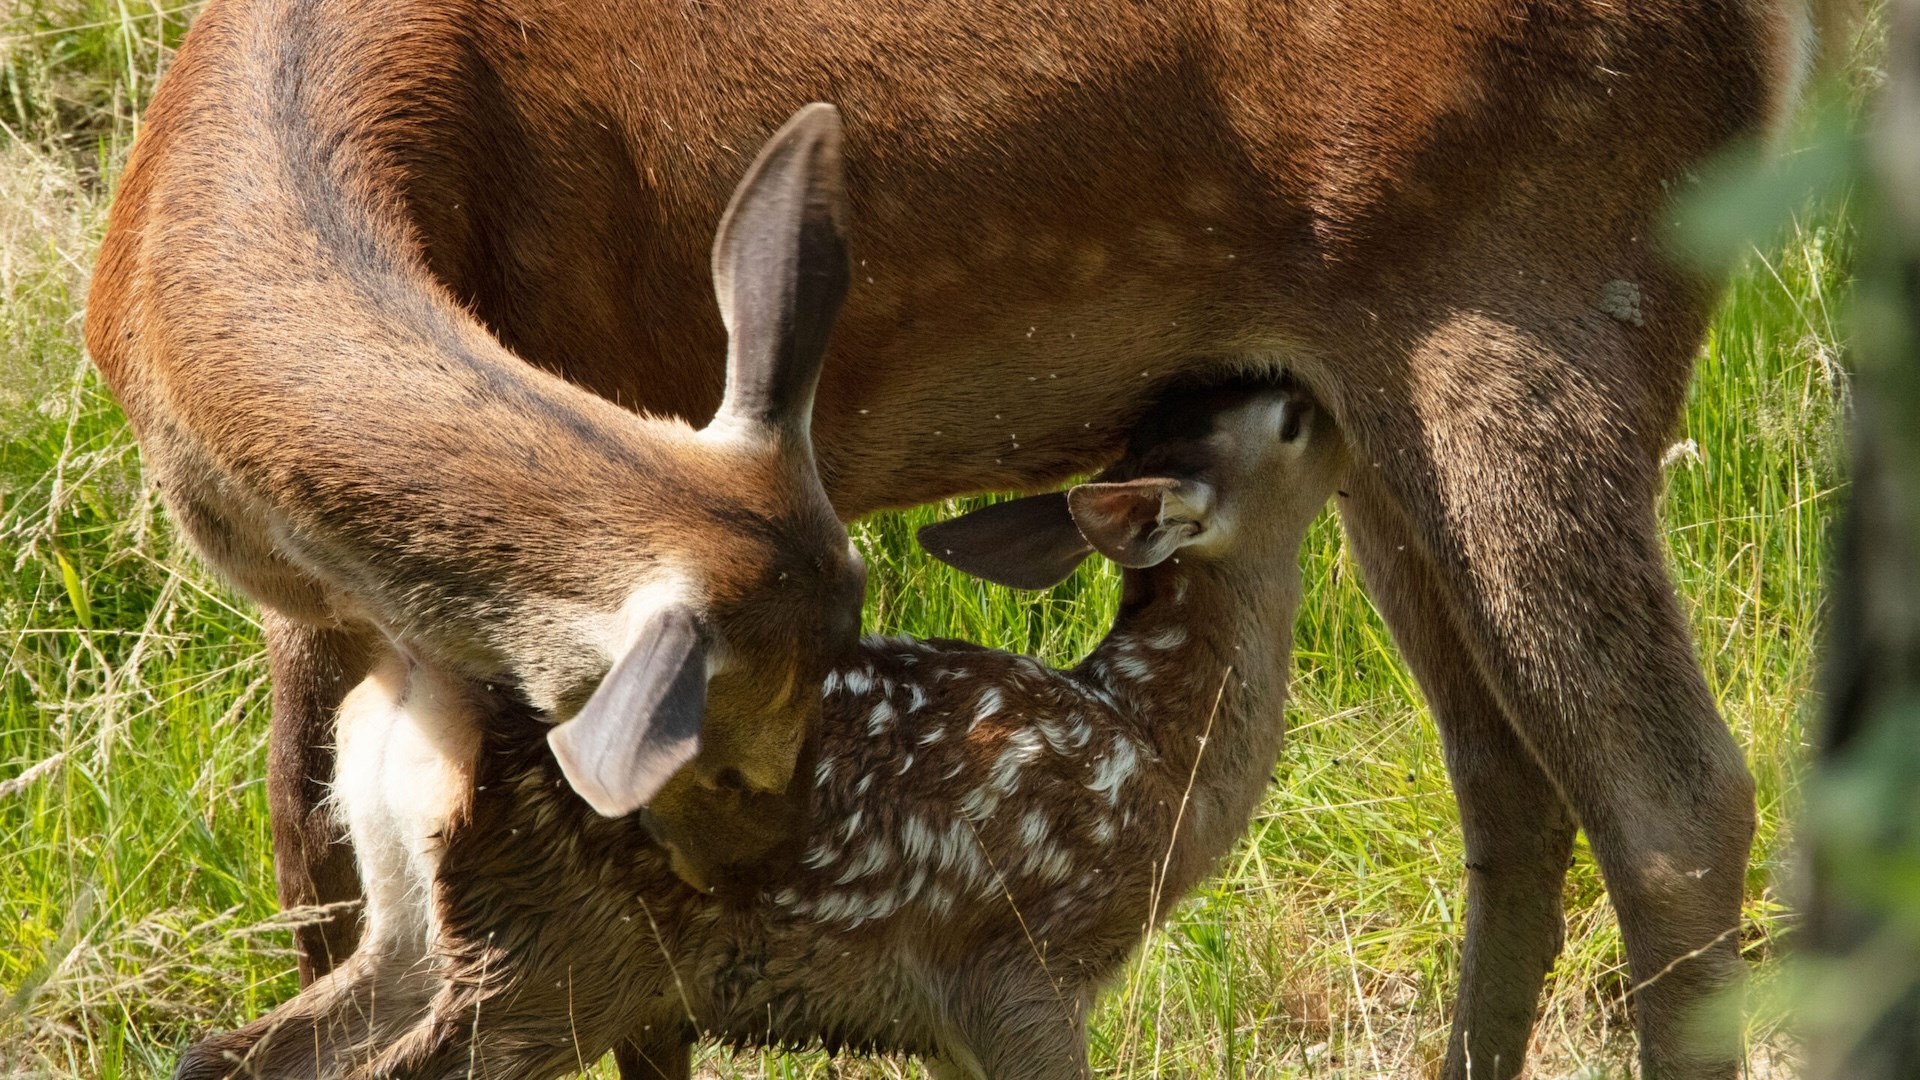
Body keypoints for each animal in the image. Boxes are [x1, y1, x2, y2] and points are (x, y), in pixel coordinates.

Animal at [176, 376, 1351, 1076]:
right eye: (1290, 423)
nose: (1313, 385)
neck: (1157, 751)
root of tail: (423, 697)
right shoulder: (1022, 965)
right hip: (549, 950)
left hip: (419, 921)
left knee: (227, 1054)